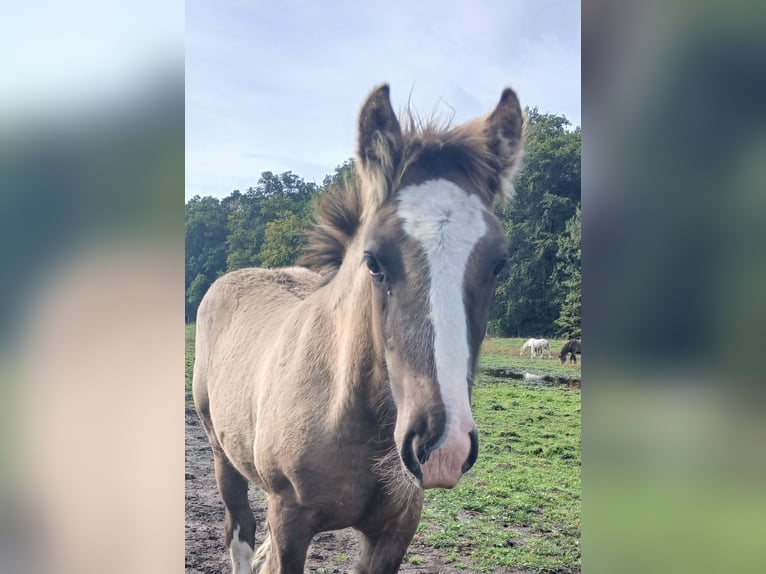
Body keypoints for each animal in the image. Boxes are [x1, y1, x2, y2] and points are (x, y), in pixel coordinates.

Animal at [194, 83, 528, 572]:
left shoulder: (396, 530)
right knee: (239, 532)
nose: (443, 447)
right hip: (222, 454)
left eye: (500, 263)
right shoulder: (289, 522)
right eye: (374, 260)